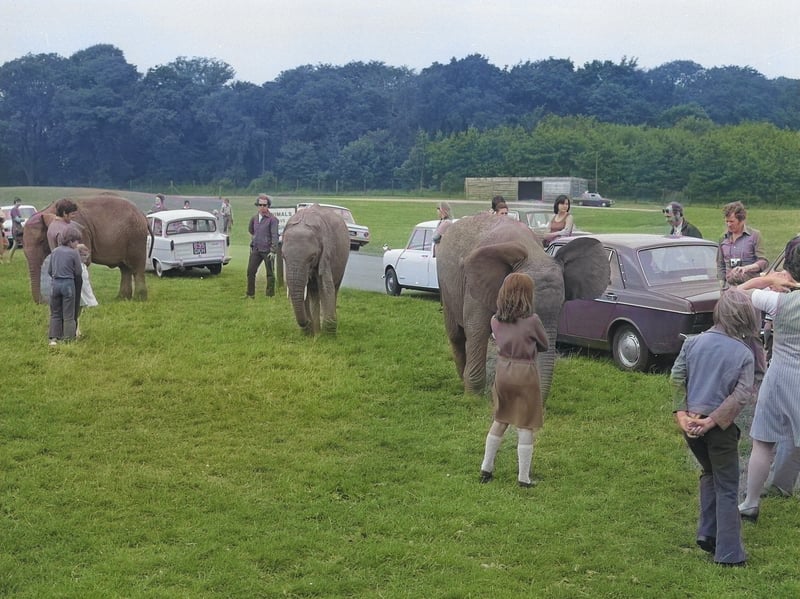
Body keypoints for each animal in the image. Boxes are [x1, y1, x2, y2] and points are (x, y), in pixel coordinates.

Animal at [281, 204, 350, 334]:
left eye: (312, 258)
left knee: (334, 288)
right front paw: (309, 333)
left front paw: (328, 335)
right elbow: (305, 292)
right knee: (314, 293)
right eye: (283, 257)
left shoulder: (326, 253)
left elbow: (326, 286)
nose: (306, 323)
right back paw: (316, 332)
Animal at [436, 213, 610, 397]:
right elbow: (477, 329)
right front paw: (473, 398)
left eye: (562, 306)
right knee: (456, 334)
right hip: (445, 285)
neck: (533, 253)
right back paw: (463, 381)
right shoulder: (475, 285)